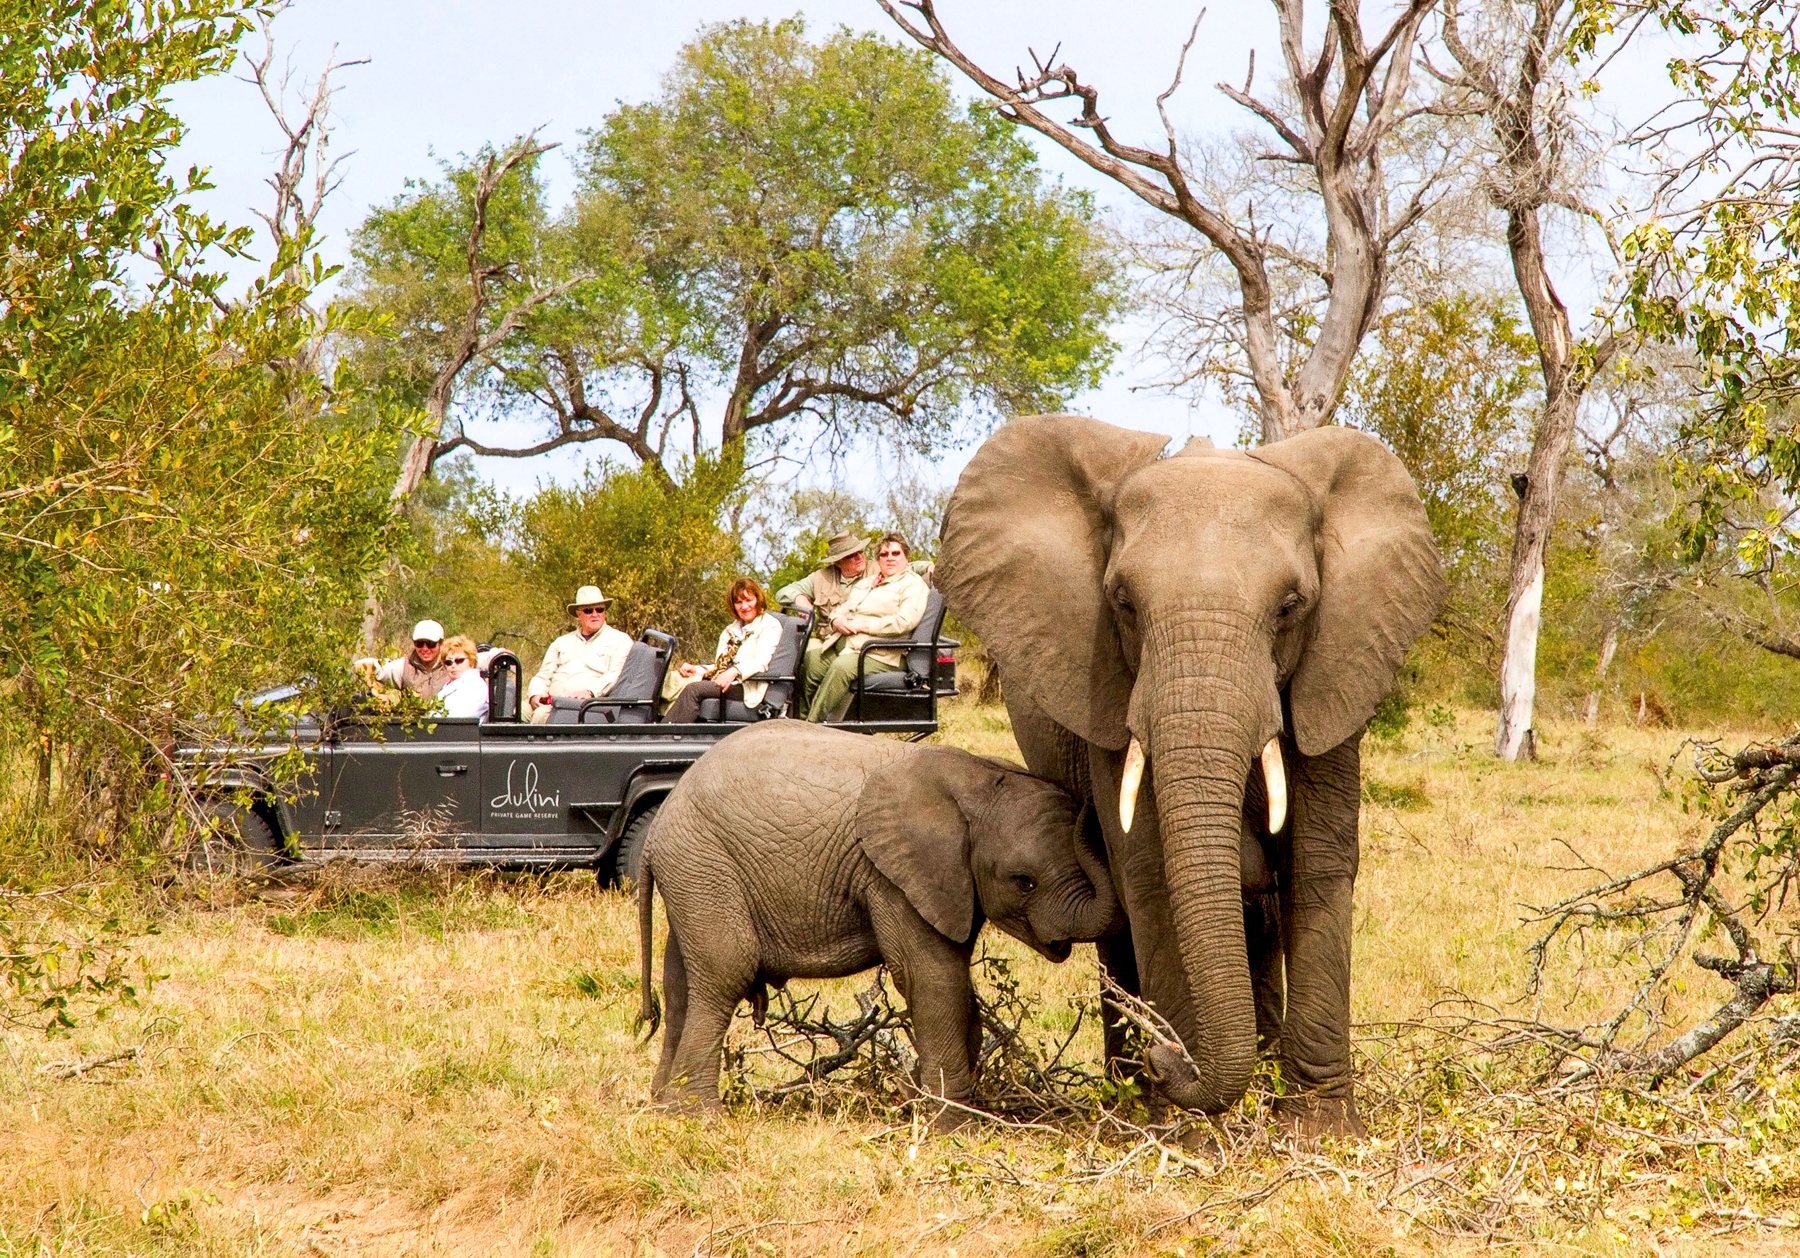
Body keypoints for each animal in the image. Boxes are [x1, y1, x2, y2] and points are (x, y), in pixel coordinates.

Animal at [635, 721, 1121, 1124]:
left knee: (680, 987)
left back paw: (662, 1109)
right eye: (1024, 881)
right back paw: (698, 1117)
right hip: (704, 864)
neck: (979, 781)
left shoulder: (948, 882)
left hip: (693, 875)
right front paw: (954, 1126)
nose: (1092, 808)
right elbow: (931, 977)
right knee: (724, 975)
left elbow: (955, 977)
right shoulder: (891, 874)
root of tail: (656, 831)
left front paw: (919, 1098)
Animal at [937, 416, 1445, 1136]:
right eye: (1122, 602)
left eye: (1291, 607)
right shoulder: (1108, 689)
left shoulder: (1337, 667)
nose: (1171, 1057)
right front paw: (1185, 1130)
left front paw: (1319, 1131)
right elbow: (1147, 867)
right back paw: (1130, 1089)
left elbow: (1318, 861)